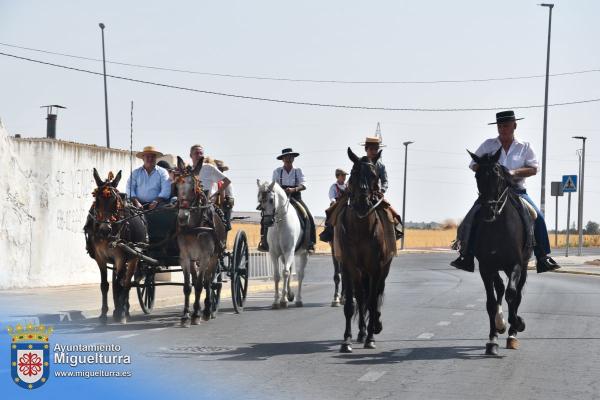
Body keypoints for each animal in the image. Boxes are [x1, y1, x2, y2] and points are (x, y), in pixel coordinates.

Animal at [84, 167, 148, 324]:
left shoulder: (121, 257)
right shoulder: (100, 258)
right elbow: (105, 285)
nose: (105, 230)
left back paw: (123, 311)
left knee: (127, 282)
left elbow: (120, 284)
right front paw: (103, 315)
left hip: (134, 256)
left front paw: (120, 312)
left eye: (115, 201)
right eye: (97, 200)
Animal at [176, 155, 227, 326]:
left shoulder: (205, 256)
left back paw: (207, 310)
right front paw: (185, 315)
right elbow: (187, 286)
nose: (182, 217)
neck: (194, 227)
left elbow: (199, 285)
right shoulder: (185, 257)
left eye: (193, 188)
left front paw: (196, 314)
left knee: (209, 282)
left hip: (214, 257)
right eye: (176, 186)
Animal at [255, 181, 310, 310]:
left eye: (271, 200)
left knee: (300, 275)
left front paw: (283, 300)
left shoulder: (289, 251)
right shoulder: (274, 253)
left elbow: (285, 273)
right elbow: (277, 275)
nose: (267, 222)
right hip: (284, 256)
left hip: (303, 253)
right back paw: (290, 295)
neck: (280, 223)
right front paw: (276, 301)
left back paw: (298, 299)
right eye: (259, 199)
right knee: (289, 270)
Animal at [330, 148, 396, 354]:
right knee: (361, 298)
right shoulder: (348, 266)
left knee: (375, 295)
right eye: (353, 173)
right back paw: (361, 331)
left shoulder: (375, 268)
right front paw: (347, 340)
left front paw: (371, 338)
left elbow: (373, 301)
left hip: (383, 270)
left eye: (374, 175)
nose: (361, 204)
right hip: (359, 272)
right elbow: (351, 304)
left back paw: (374, 326)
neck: (360, 229)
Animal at [468, 148, 528, 354]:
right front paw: (493, 338)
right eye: (477, 176)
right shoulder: (486, 267)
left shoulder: (516, 264)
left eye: (497, 176)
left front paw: (517, 324)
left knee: (516, 294)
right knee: (500, 289)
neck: (497, 227)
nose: (489, 211)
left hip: (523, 267)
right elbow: (491, 302)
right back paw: (501, 325)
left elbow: (512, 294)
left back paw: (512, 334)